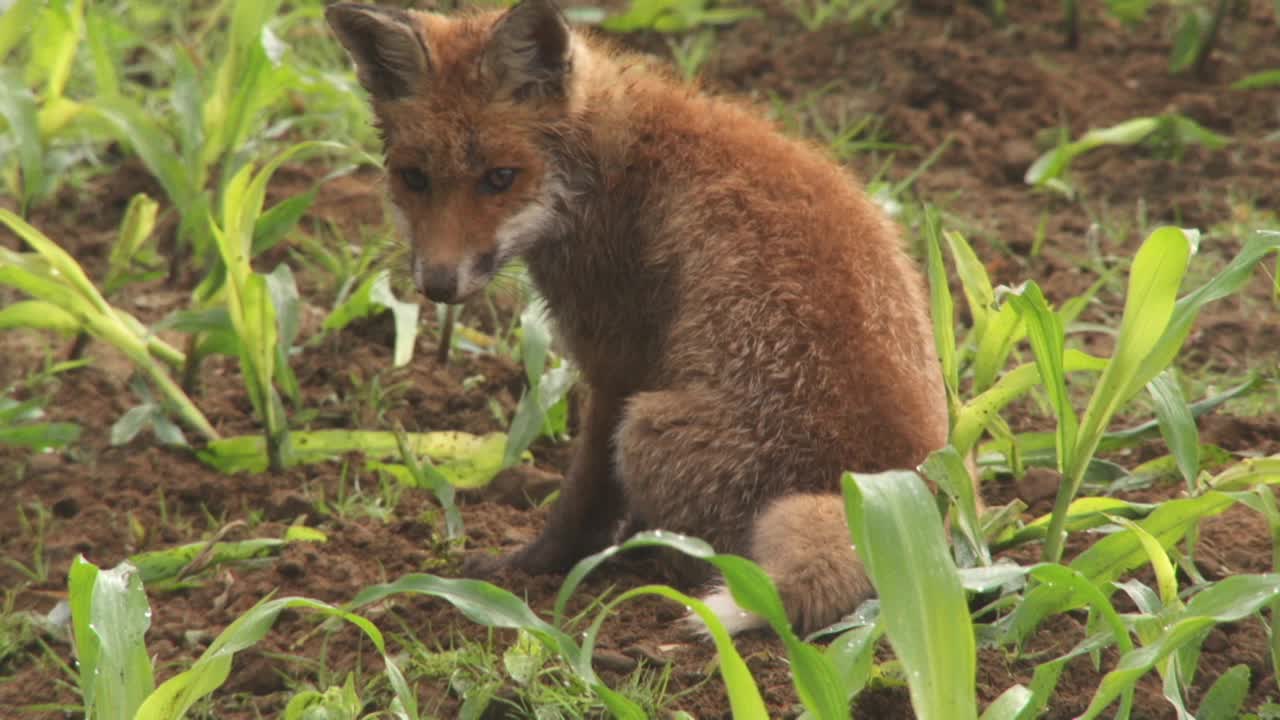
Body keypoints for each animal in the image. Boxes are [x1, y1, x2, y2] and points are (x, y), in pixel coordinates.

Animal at [327, 0, 952, 630]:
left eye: (500, 178)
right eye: (414, 178)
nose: (438, 283)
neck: (609, 159)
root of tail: (890, 492)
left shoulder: (616, 364)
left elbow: (582, 499)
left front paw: (532, 567)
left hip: (644, 430)